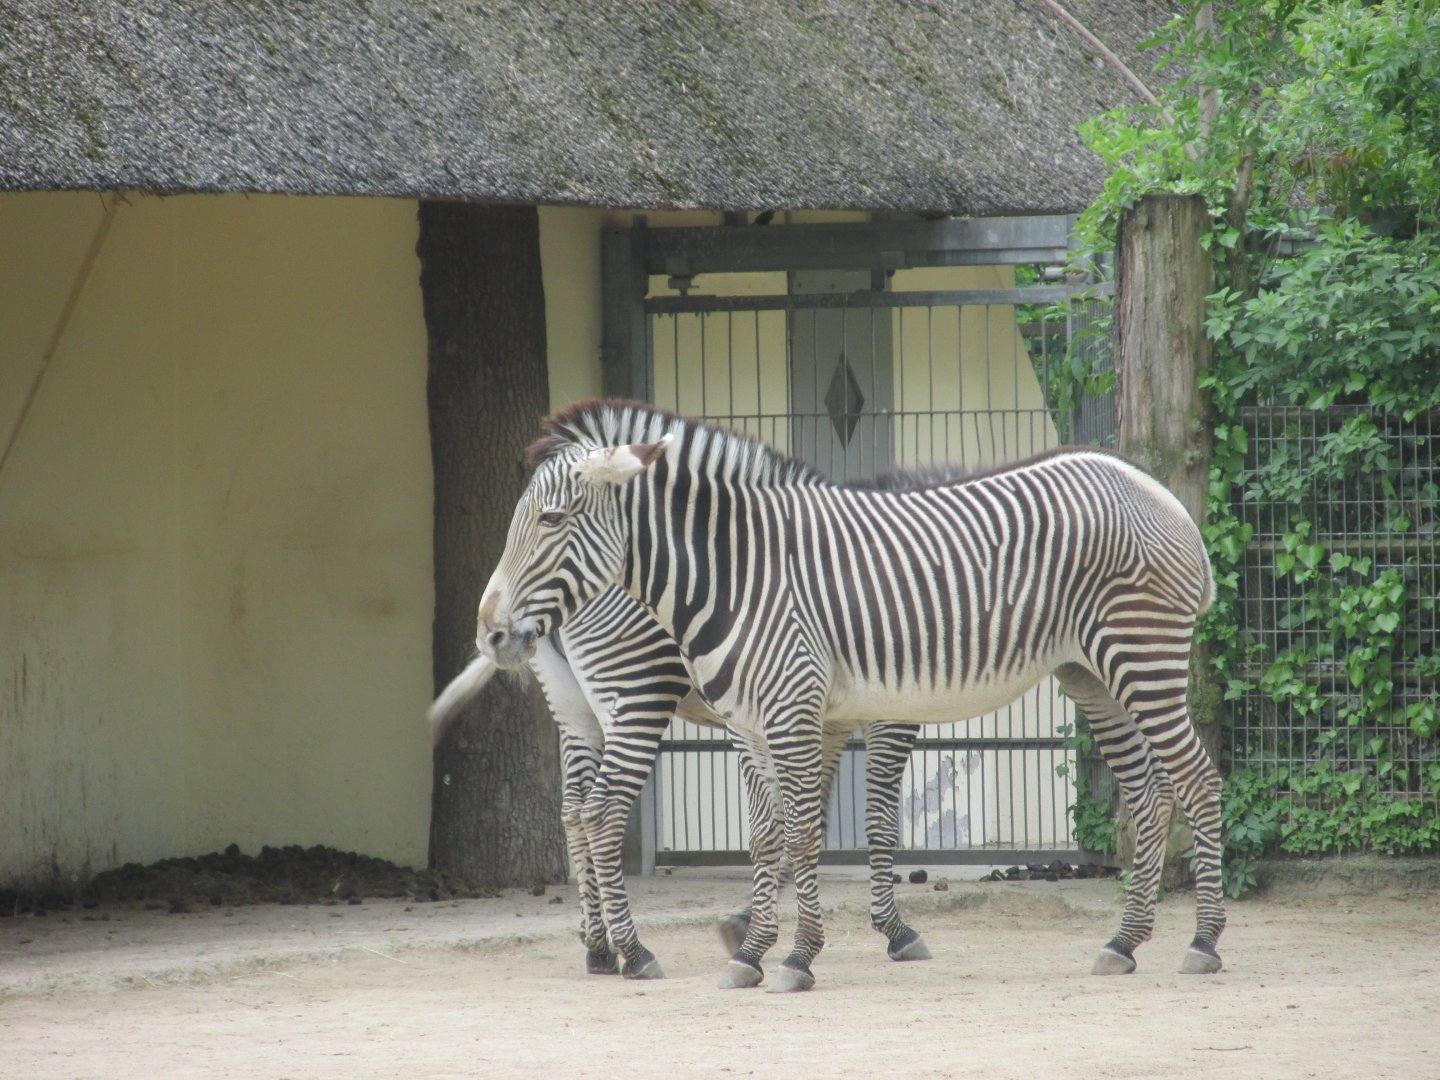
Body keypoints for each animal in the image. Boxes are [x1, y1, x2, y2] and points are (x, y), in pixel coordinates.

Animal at [432, 583, 931, 980]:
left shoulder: (821, 717)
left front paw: (746, 923)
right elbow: (874, 821)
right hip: (636, 690)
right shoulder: (884, 710)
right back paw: (634, 952)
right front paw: (894, 930)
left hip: (575, 709)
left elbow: (804, 821)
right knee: (601, 811)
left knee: (573, 810)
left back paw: (598, 945)